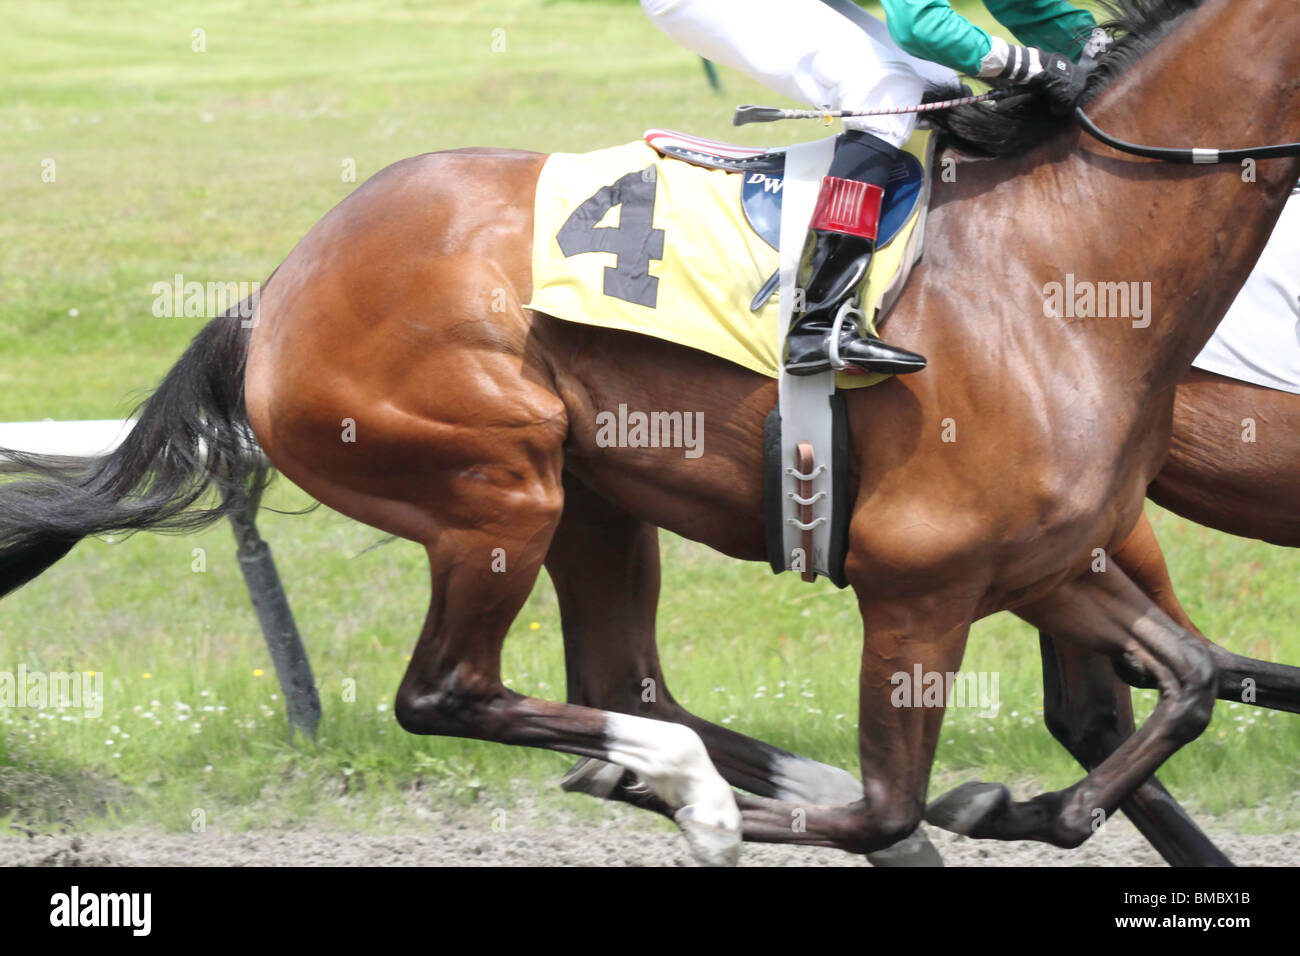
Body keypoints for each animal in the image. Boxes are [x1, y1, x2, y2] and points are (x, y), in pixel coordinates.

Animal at [2, 0, 1300, 868]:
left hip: (595, 500)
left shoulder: (1045, 559)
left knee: (624, 681)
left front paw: (1015, 806)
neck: (1067, 264)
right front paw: (860, 812)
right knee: (449, 692)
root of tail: (271, 294)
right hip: (496, 482)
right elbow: (891, 801)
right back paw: (686, 784)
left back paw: (686, 766)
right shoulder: (919, 580)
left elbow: (1189, 678)